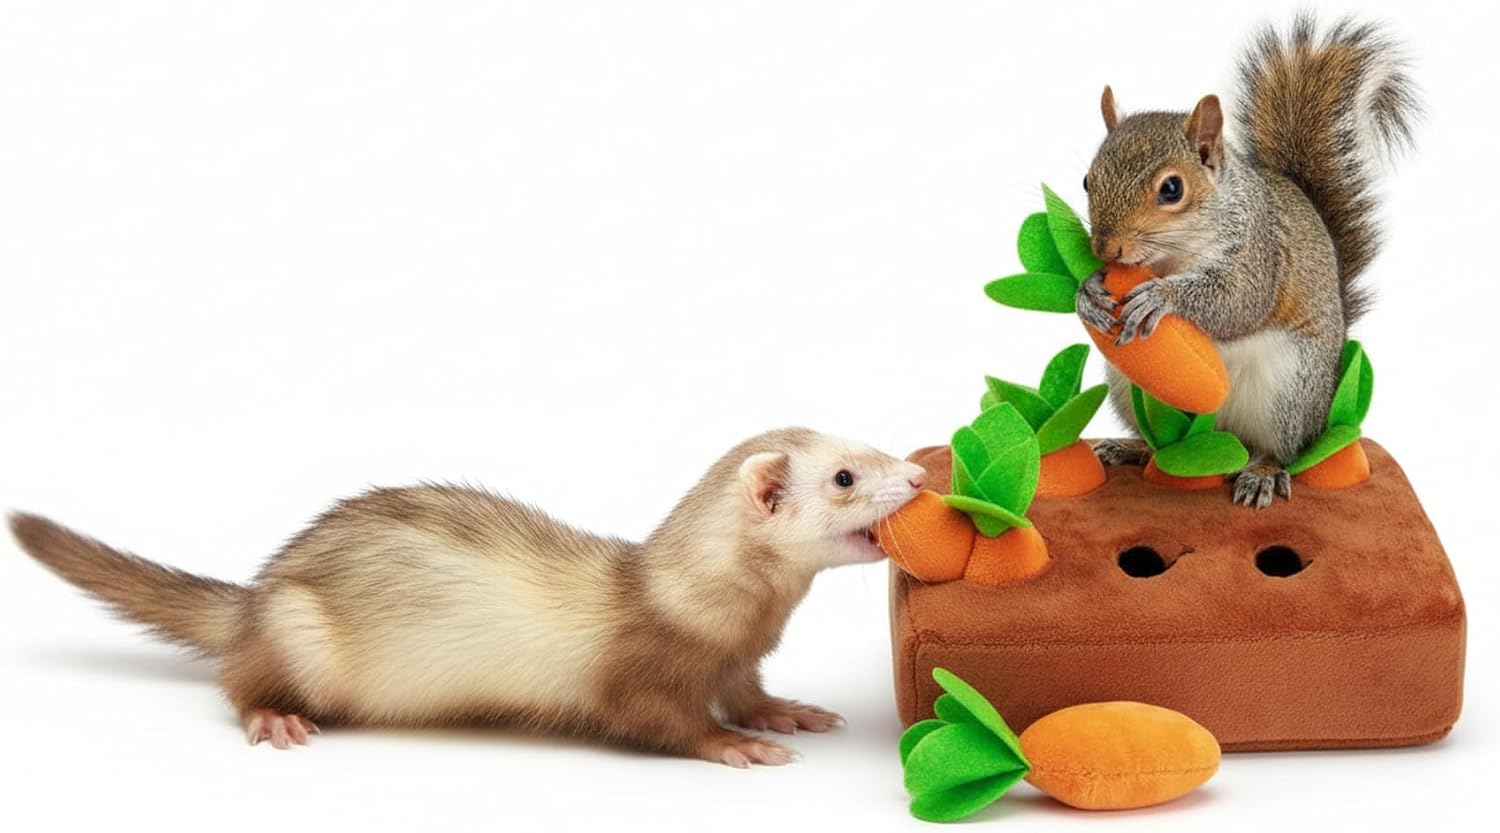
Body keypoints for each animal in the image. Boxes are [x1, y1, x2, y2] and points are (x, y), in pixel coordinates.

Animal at [10, 427, 927, 767]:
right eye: (846, 475)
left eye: (865, 441)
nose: (919, 477)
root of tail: (258, 595)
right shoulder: (639, 671)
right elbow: (657, 719)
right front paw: (733, 743)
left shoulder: (738, 658)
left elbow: (747, 689)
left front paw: (785, 712)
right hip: (299, 631)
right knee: (237, 681)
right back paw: (274, 714)